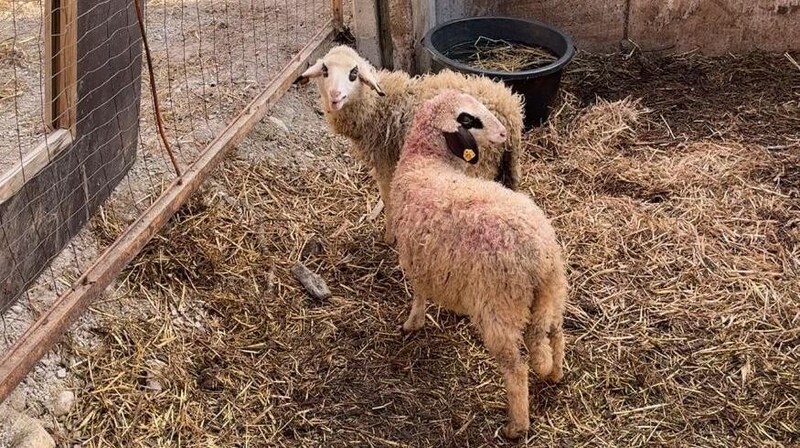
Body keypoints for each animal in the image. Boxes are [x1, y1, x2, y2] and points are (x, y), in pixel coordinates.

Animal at [294, 45, 524, 245]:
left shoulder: (385, 163)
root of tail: (511, 112)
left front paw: (389, 237)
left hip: (479, 166)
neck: (376, 107)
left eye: (354, 73)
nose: (335, 97)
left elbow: (388, 199)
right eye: (325, 70)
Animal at [390, 89, 564, 440]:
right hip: (551, 296)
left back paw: (516, 426)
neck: (427, 161)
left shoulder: (414, 257)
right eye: (469, 119)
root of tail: (540, 254)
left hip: (501, 308)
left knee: (517, 368)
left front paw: (412, 324)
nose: (504, 134)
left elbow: (419, 293)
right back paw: (555, 374)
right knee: (556, 334)